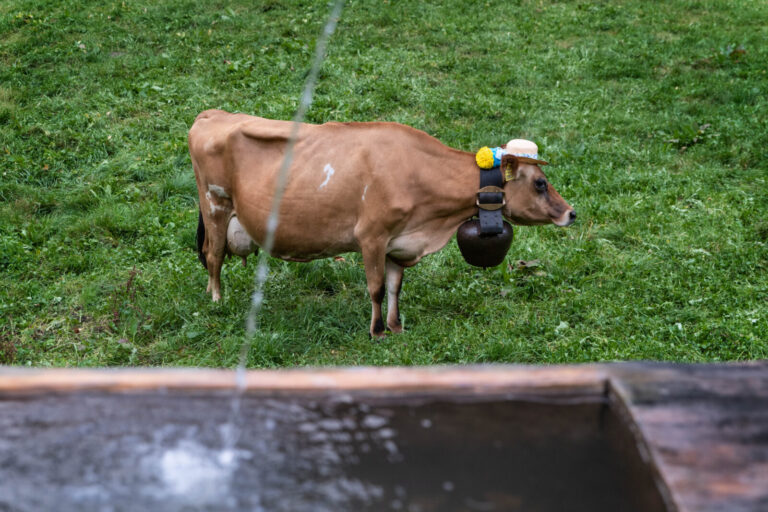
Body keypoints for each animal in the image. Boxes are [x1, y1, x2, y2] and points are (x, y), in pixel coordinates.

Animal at [189, 110, 575, 338]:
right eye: (540, 183)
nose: (571, 212)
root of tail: (213, 114)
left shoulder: (398, 242)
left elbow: (394, 287)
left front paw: (395, 326)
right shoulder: (371, 237)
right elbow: (375, 287)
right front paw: (376, 331)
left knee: (210, 254)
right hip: (215, 206)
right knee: (213, 255)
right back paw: (217, 300)